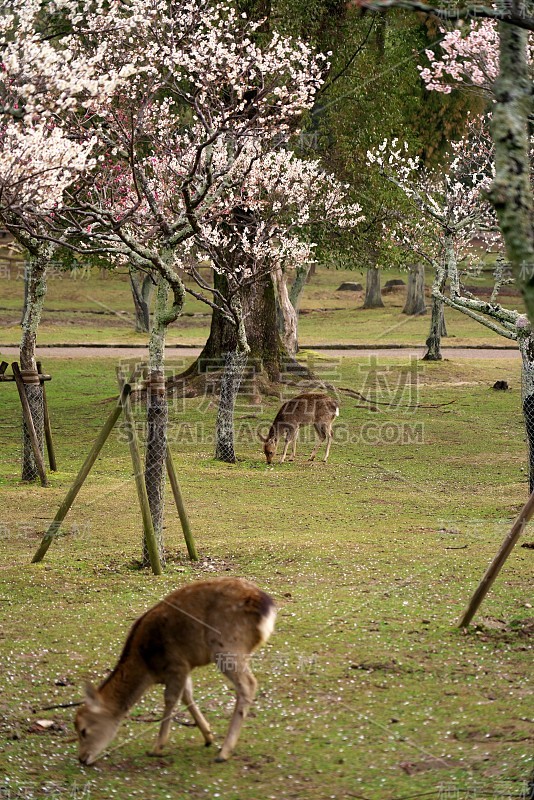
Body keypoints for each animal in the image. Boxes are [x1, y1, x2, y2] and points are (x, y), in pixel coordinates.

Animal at [74, 580, 276, 764]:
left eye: (83, 730)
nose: (82, 758)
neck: (147, 667)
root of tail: (267, 607)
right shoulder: (184, 667)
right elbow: (187, 696)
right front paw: (208, 736)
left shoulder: (176, 664)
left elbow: (171, 699)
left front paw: (157, 747)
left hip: (227, 647)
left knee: (248, 684)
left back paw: (224, 752)